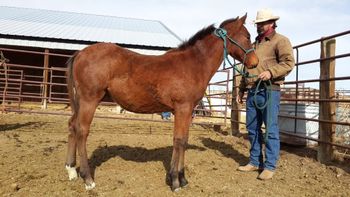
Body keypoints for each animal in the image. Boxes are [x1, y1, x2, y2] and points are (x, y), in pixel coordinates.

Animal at [65, 14, 258, 191]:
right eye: (248, 36)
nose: (255, 62)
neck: (193, 65)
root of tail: (80, 53)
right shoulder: (182, 108)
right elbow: (179, 140)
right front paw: (175, 181)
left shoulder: (188, 111)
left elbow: (184, 140)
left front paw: (182, 179)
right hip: (90, 99)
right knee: (82, 130)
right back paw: (88, 179)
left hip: (81, 102)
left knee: (72, 126)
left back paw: (71, 170)